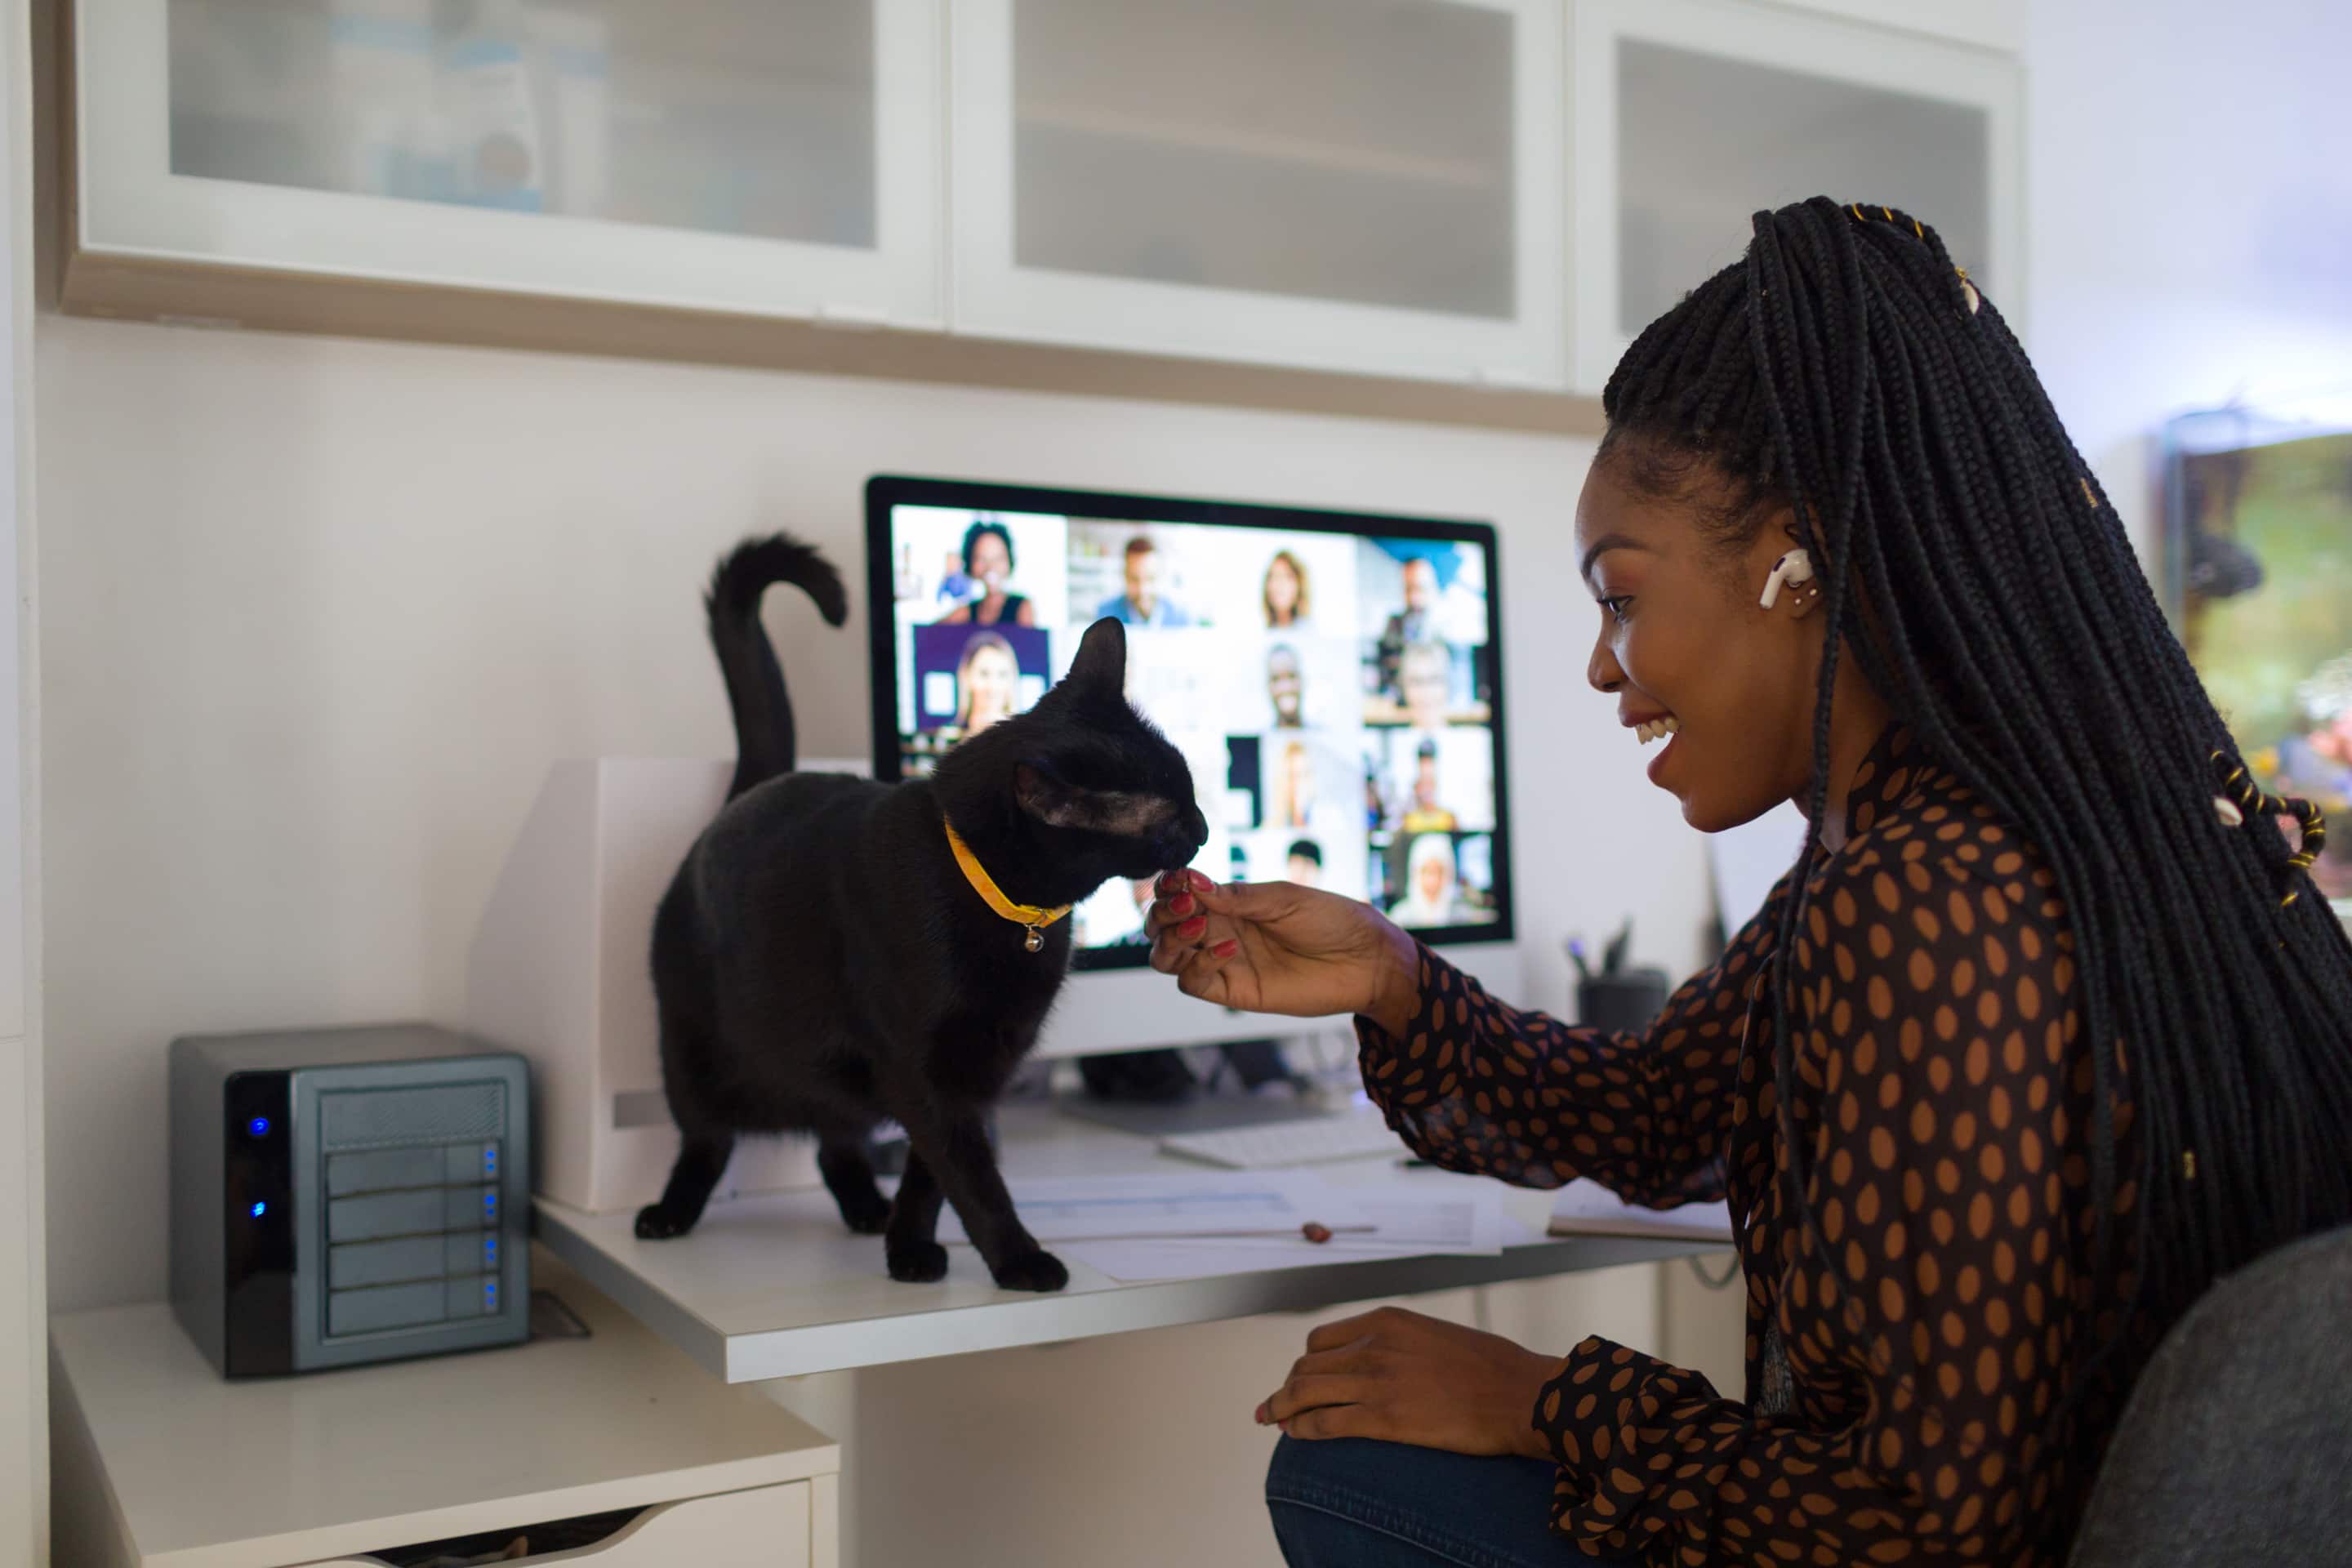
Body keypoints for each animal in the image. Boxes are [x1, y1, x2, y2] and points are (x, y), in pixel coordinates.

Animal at [635, 533, 1204, 1297]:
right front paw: (1019, 1260)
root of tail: (746, 795)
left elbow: (932, 1173)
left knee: (834, 1140)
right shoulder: (925, 1071)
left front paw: (908, 1248)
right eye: (1168, 814)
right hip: (692, 1052)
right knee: (707, 1139)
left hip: (826, 1074)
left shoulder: (982, 1065)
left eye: (1190, 786)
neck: (1012, 914)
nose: (1203, 827)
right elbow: (971, 1175)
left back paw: (865, 1209)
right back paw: (670, 1212)